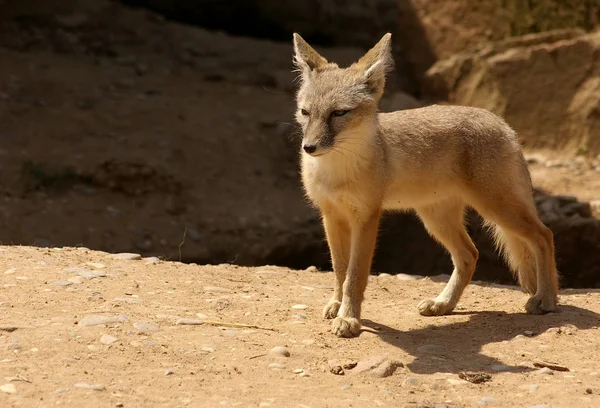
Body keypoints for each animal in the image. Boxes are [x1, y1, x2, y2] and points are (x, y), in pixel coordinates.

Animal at [292, 31, 560, 338]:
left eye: (338, 113)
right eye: (305, 112)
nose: (309, 147)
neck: (335, 172)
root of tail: (502, 123)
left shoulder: (366, 217)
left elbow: (354, 275)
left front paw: (349, 318)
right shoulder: (331, 216)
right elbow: (339, 270)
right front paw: (337, 306)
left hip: (496, 209)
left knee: (544, 236)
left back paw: (547, 300)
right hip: (437, 220)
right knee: (470, 255)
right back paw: (443, 304)